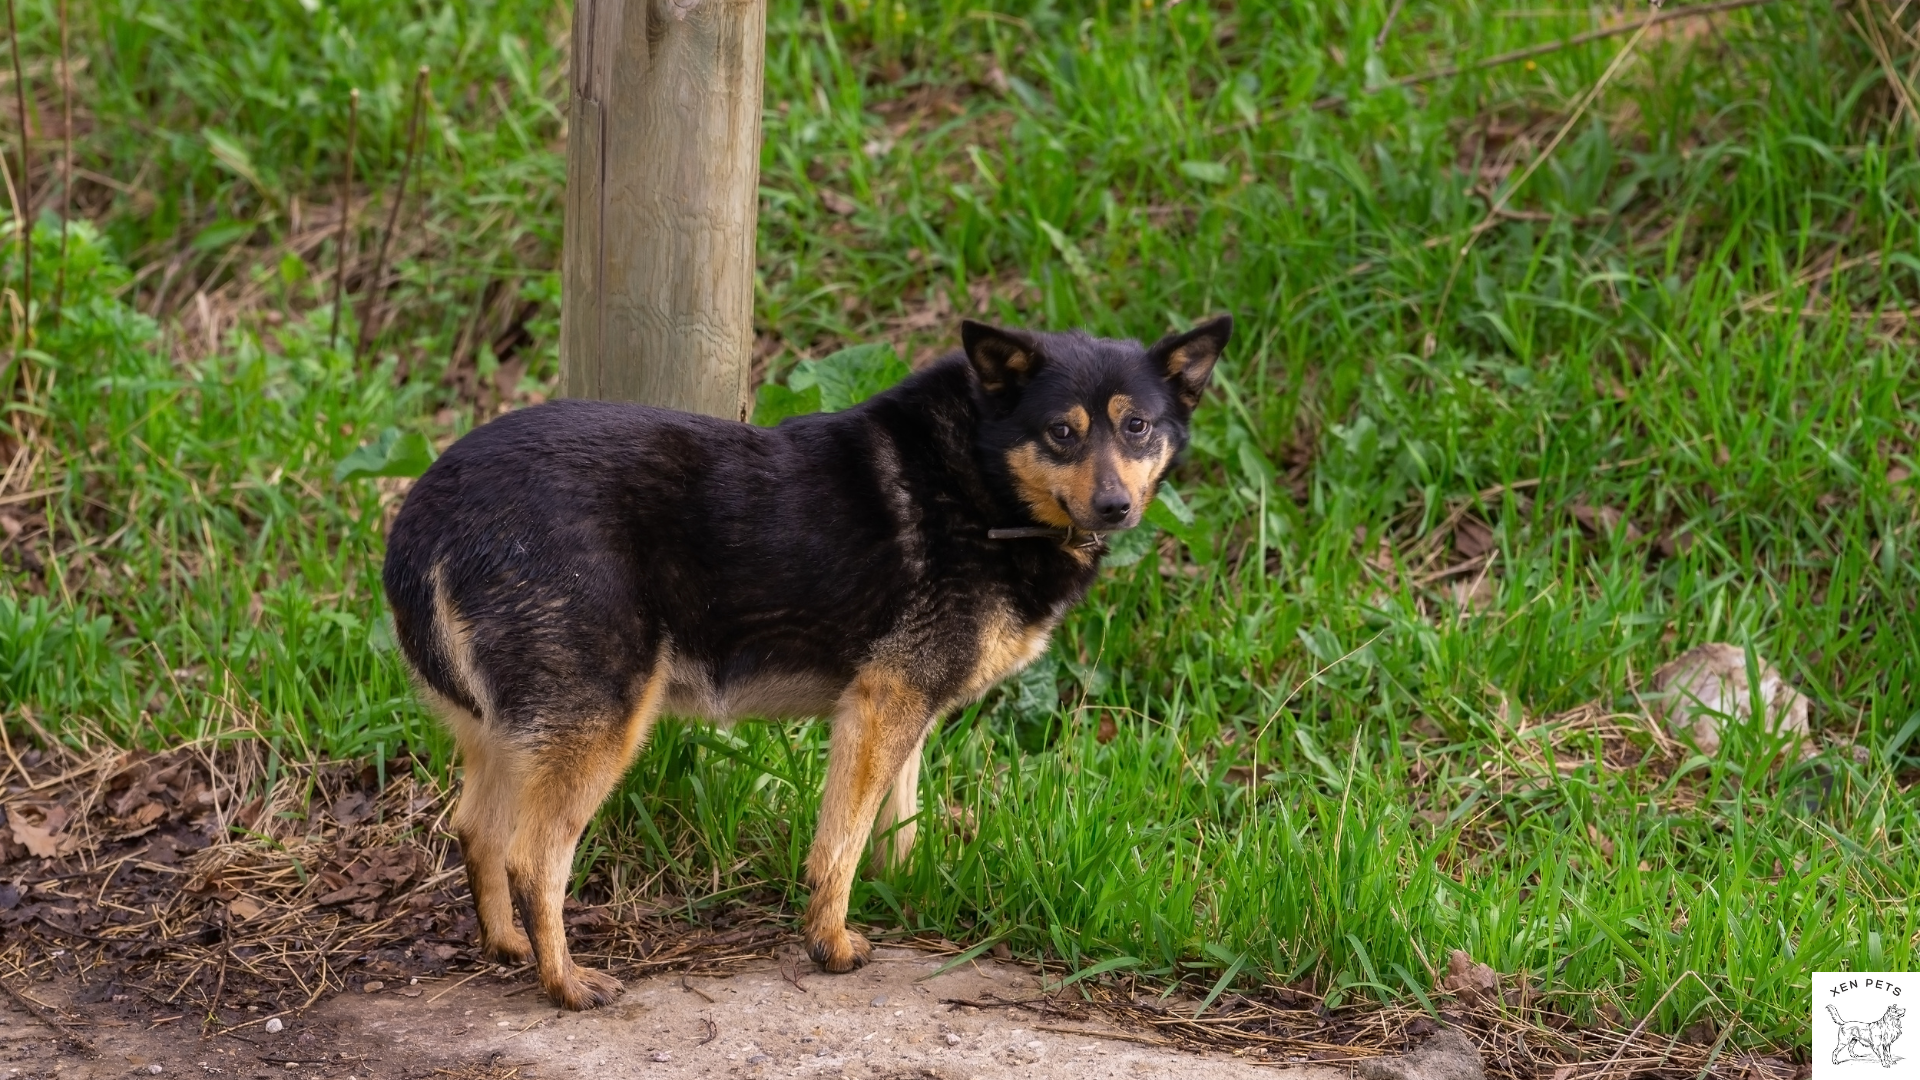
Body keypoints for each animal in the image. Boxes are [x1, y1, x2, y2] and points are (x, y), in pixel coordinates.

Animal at [382, 315, 1236, 1006]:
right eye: (1062, 432)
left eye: (1137, 427)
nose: (1115, 508)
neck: (981, 477)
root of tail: (427, 513)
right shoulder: (883, 703)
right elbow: (839, 845)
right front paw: (830, 942)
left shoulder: (903, 710)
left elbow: (895, 825)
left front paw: (903, 894)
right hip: (598, 725)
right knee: (532, 858)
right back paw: (562, 982)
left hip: (507, 731)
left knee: (476, 830)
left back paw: (508, 947)